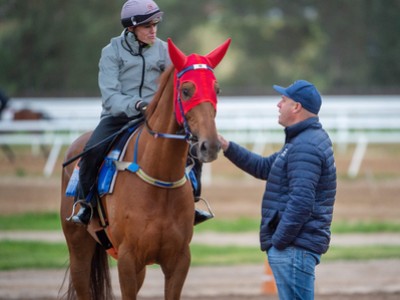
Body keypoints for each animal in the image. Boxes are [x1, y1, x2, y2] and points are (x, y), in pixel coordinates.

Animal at [59, 38, 231, 300]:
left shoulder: (179, 260)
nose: (209, 145)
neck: (160, 181)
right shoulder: (128, 260)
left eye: (217, 90)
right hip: (78, 246)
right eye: (186, 90)